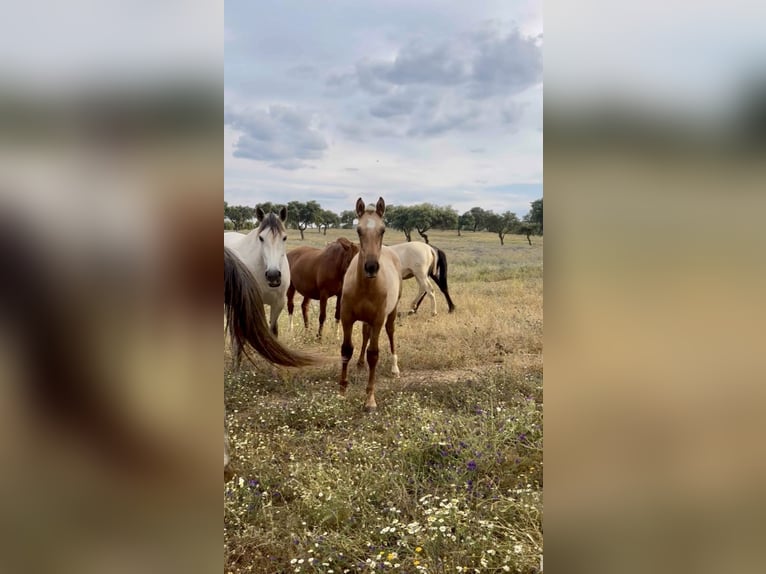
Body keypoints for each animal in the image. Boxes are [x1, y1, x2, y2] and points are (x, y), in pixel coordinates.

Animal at [340, 197, 402, 410]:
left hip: (391, 313)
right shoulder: (347, 318)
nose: (371, 266)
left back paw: (395, 368)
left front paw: (370, 399)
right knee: (365, 334)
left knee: (391, 333)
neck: (365, 286)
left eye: (382, 230)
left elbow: (373, 354)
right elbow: (346, 350)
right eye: (359, 230)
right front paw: (341, 391)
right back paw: (360, 364)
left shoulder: (378, 320)